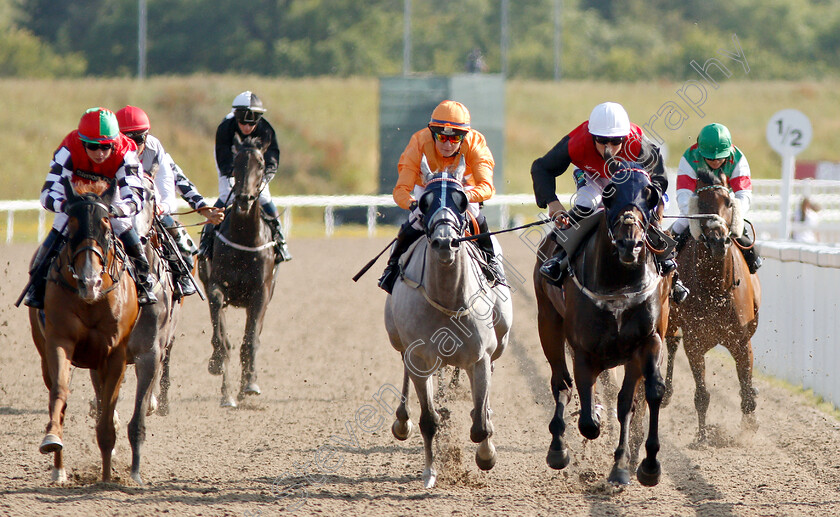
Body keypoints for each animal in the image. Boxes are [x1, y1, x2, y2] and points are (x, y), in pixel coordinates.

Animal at [28, 178, 139, 484]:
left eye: (106, 222)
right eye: (72, 223)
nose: (89, 281)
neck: (92, 299)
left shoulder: (115, 354)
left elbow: (107, 415)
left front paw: (107, 477)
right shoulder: (59, 341)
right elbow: (60, 393)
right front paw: (52, 439)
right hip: (43, 351)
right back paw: (59, 470)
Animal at [197, 134, 276, 408]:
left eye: (261, 164)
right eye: (236, 162)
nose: (243, 198)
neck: (244, 238)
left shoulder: (260, 294)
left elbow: (250, 341)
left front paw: (249, 385)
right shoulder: (217, 288)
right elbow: (223, 342)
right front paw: (225, 389)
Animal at [386, 156, 516, 488]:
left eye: (462, 200)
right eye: (424, 202)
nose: (446, 242)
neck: (447, 298)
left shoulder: (479, 357)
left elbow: (480, 424)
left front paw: (486, 454)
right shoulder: (420, 357)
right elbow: (428, 420)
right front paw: (430, 472)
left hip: (500, 342)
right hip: (399, 341)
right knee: (405, 370)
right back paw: (402, 419)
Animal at [536, 163, 672, 486]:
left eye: (650, 194)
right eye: (609, 195)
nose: (630, 243)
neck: (619, 284)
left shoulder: (647, 342)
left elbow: (641, 397)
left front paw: (641, 465)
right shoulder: (583, 350)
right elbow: (588, 420)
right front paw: (594, 417)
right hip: (548, 322)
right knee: (561, 383)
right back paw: (558, 449)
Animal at [664, 169, 760, 440]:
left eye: (728, 202)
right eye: (702, 205)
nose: (718, 241)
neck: (716, 288)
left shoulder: (741, 340)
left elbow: (746, 391)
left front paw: (749, 427)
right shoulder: (694, 343)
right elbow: (702, 395)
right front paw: (702, 437)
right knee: (671, 343)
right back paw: (665, 394)